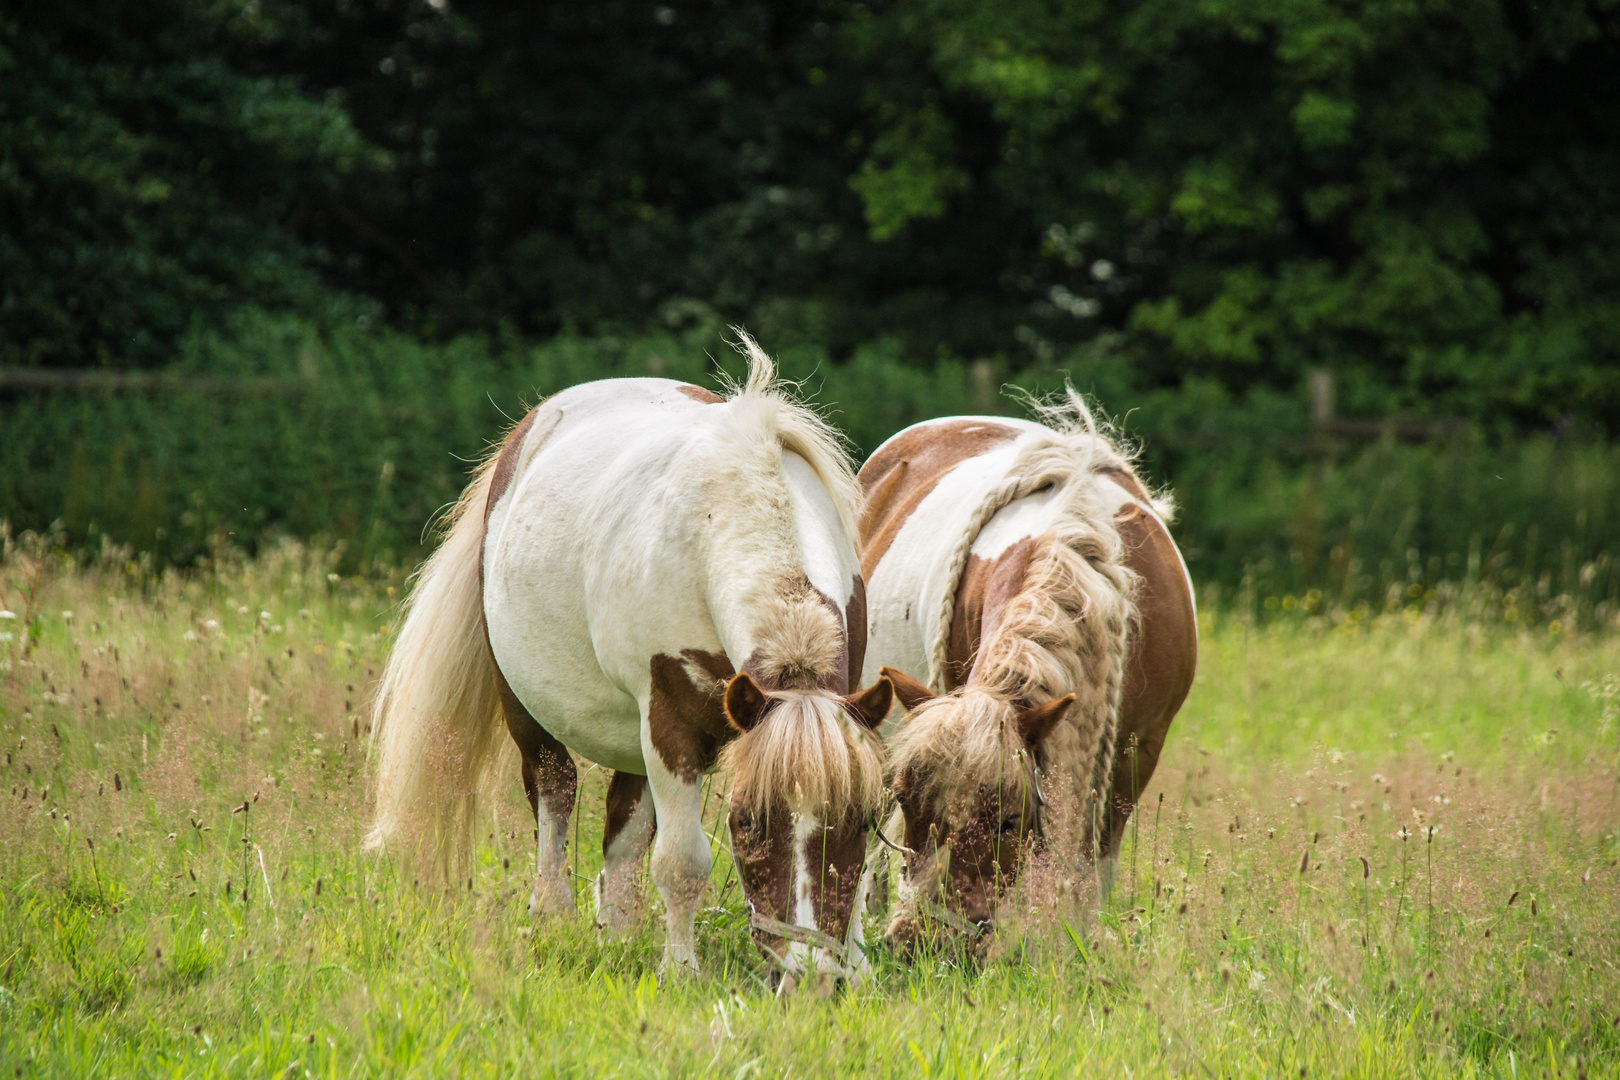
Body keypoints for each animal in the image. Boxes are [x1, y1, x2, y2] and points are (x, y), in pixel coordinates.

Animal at [364, 340, 900, 977]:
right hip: (529, 711)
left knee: (621, 828)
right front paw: (681, 971)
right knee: (555, 793)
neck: (728, 517)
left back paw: (617, 934)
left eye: (864, 818)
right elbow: (681, 861)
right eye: (746, 820)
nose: (808, 976)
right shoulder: (670, 726)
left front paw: (856, 965)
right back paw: (551, 915)